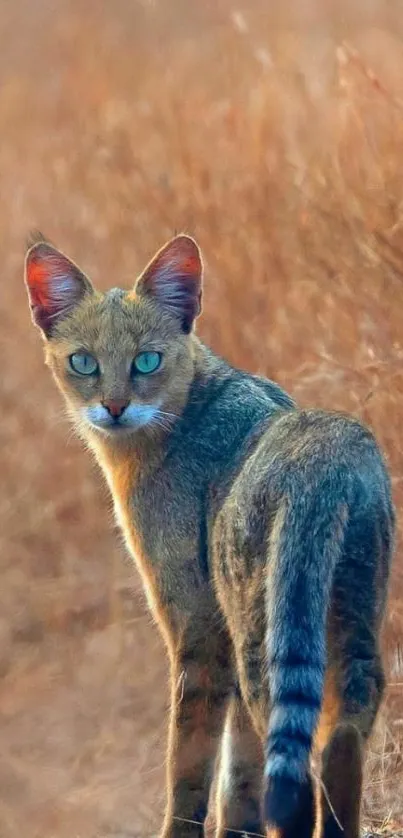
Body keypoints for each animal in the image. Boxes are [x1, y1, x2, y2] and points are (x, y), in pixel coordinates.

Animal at [24, 235, 394, 838]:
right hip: (350, 623)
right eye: (83, 362)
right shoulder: (222, 640)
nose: (115, 407)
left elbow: (191, 763)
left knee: (296, 765)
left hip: (262, 640)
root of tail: (326, 451)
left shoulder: (196, 630)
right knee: (340, 738)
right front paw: (236, 829)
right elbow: (239, 774)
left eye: (147, 359)